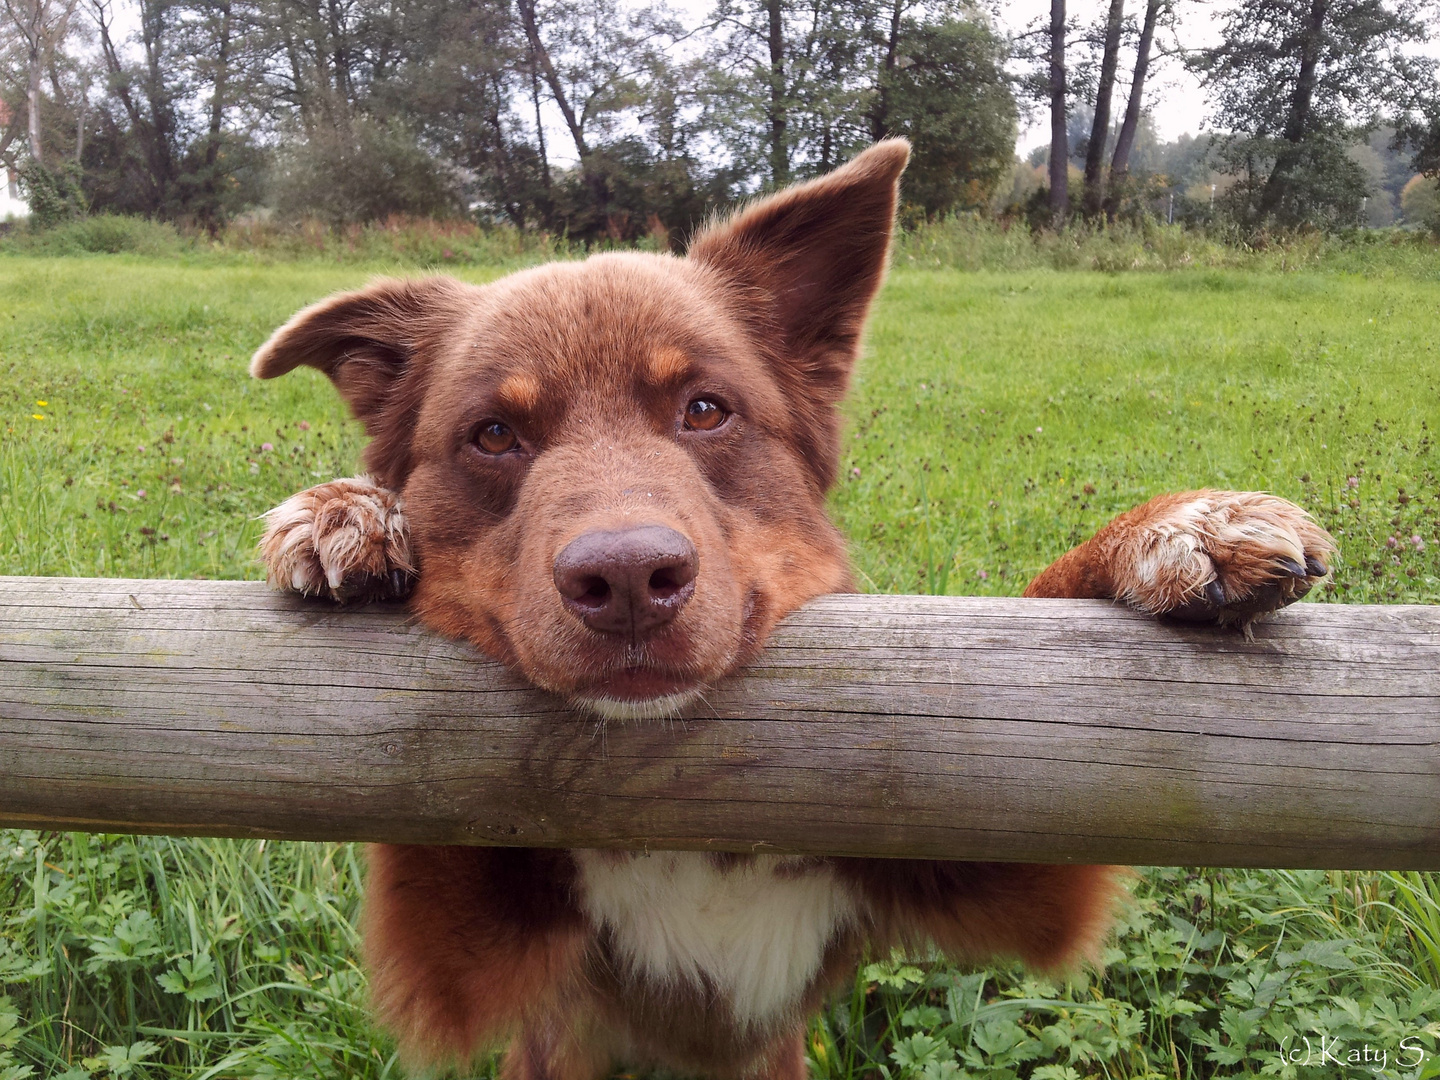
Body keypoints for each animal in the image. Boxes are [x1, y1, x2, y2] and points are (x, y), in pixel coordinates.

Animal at [250, 139, 1336, 1077]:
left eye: (705, 409)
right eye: (492, 435)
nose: (630, 581)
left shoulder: (1005, 863)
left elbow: (1043, 591)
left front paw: (1179, 529)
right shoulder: (460, 957)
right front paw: (353, 512)